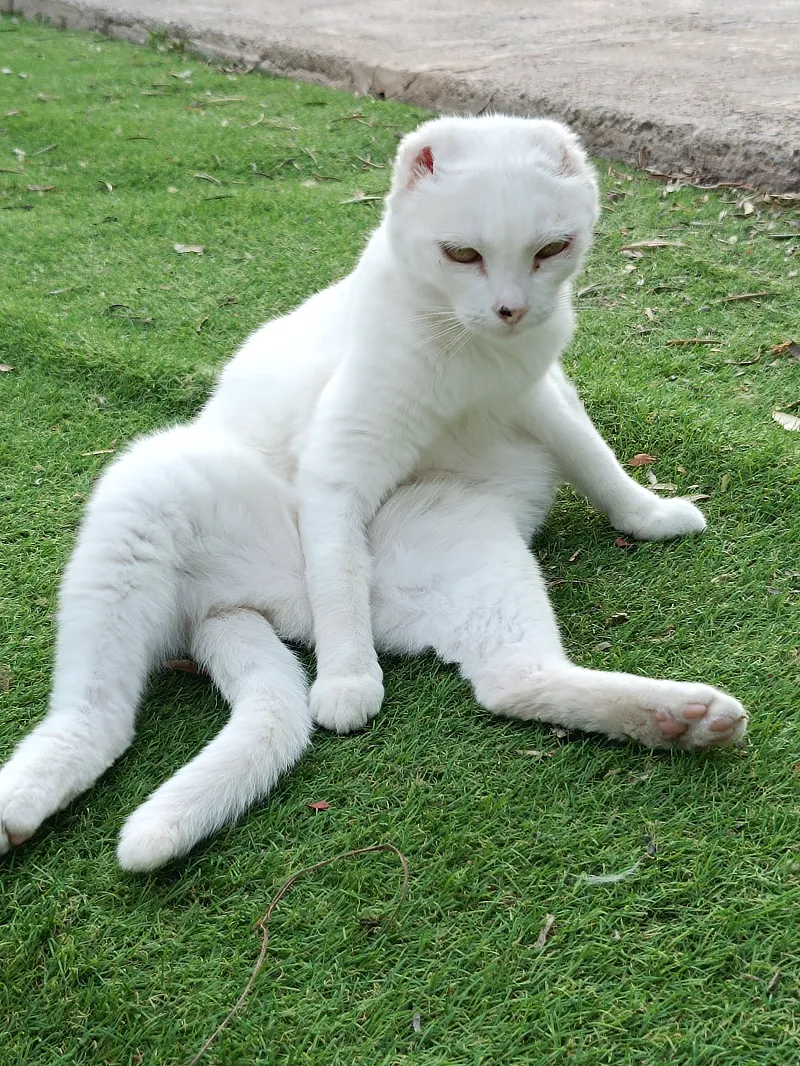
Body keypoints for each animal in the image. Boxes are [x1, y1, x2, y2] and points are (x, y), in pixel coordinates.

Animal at [0, 116, 750, 869]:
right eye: (462, 254)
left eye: (550, 249)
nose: (511, 310)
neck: (468, 351)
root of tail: (252, 611)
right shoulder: (342, 462)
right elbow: (337, 576)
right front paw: (348, 681)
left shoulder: (542, 397)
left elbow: (594, 459)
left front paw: (648, 515)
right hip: (147, 496)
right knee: (101, 716)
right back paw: (17, 808)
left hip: (470, 543)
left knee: (512, 681)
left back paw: (682, 719)